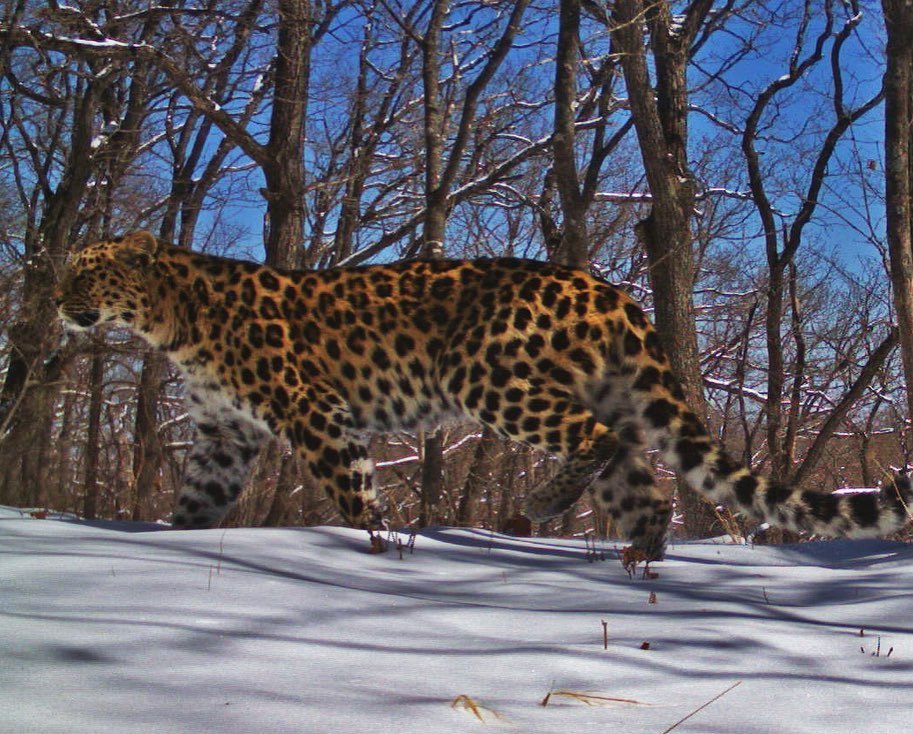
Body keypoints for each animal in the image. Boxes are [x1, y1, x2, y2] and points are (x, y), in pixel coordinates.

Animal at [55, 233, 912, 560]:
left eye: (87, 272)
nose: (59, 299)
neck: (172, 318)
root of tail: (609, 289)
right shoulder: (223, 437)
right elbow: (195, 502)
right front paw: (169, 541)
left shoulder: (313, 411)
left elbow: (353, 494)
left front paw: (376, 546)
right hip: (602, 394)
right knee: (643, 482)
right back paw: (636, 565)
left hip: (484, 374)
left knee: (592, 439)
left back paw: (535, 510)